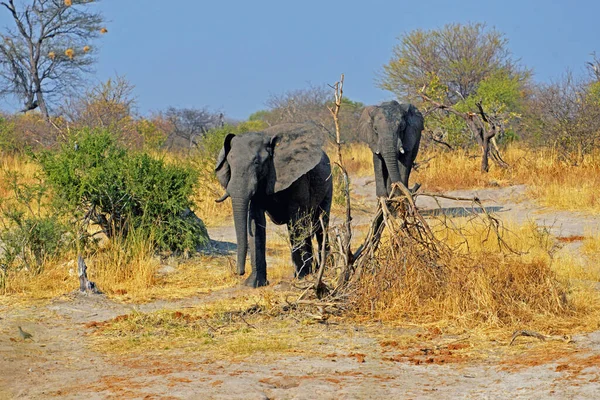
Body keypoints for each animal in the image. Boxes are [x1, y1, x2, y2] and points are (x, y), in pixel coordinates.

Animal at [213, 122, 332, 288]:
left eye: (257, 162)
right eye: (229, 163)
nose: (239, 272)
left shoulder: (298, 178)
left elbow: (295, 220)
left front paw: (301, 277)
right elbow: (255, 222)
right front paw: (253, 283)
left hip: (328, 184)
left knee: (320, 225)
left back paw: (323, 269)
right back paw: (313, 270)